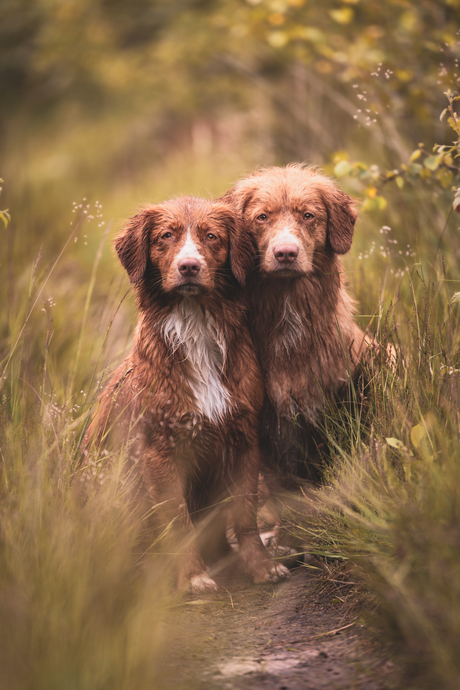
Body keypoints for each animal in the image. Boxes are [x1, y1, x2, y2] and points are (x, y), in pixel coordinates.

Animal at [86, 195, 288, 592]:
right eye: (166, 236)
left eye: (211, 236)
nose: (189, 267)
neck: (195, 328)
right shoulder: (159, 451)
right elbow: (177, 521)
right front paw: (193, 577)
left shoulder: (243, 438)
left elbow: (245, 514)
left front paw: (259, 567)